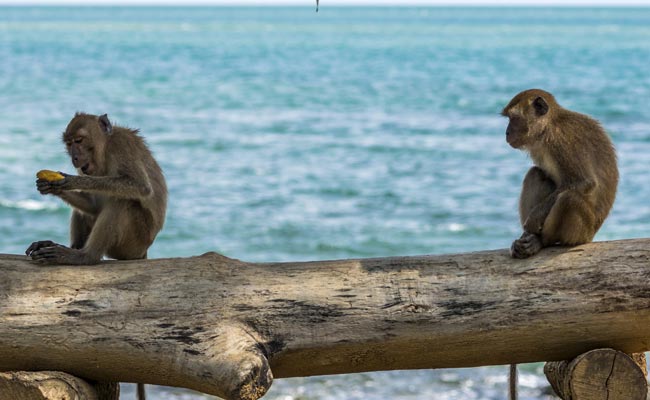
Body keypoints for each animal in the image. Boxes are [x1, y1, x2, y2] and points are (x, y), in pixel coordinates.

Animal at [25, 113, 167, 400]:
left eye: (80, 141)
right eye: (69, 144)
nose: (74, 158)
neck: (104, 151)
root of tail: (143, 251)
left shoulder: (122, 148)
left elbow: (138, 187)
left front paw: (70, 180)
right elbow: (91, 206)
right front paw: (50, 186)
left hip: (133, 240)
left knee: (122, 201)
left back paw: (84, 256)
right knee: (91, 210)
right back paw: (70, 247)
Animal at [501, 89, 618, 399]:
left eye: (513, 119)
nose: (507, 132)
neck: (548, 129)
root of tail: (591, 236)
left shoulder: (561, 142)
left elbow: (582, 184)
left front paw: (533, 225)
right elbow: (547, 178)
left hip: (580, 229)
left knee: (569, 197)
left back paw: (542, 242)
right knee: (537, 174)